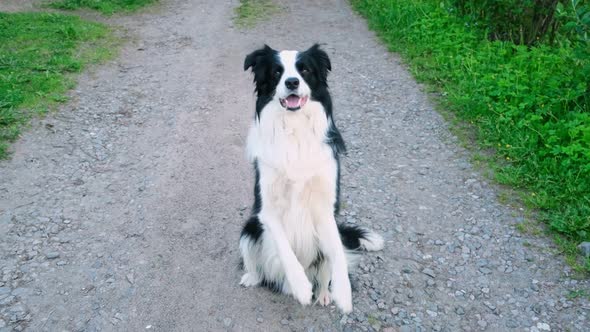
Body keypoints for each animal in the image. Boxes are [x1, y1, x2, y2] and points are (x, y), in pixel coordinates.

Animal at [239, 44, 384, 314]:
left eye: (304, 69)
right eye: (277, 72)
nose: (292, 82)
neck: (294, 130)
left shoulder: (325, 207)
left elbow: (337, 252)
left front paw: (343, 293)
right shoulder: (267, 209)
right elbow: (285, 249)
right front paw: (301, 287)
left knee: (325, 269)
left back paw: (325, 293)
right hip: (249, 228)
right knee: (255, 262)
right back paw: (254, 278)